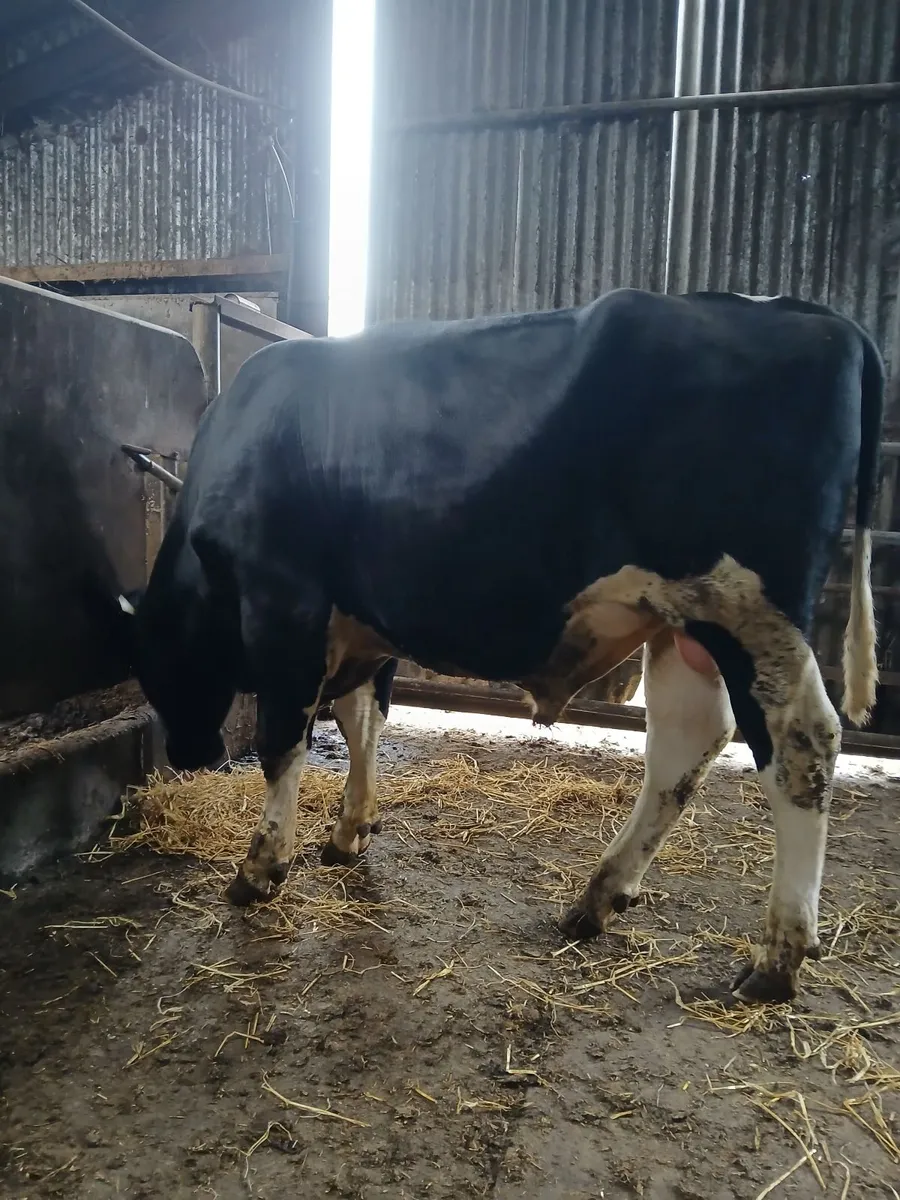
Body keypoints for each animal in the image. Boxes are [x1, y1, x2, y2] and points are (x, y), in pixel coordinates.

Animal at [122, 288, 883, 1006]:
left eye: (154, 666)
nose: (189, 756)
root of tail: (815, 316)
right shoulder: (366, 624)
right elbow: (362, 720)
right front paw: (350, 831)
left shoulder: (284, 605)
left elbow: (285, 742)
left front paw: (260, 867)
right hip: (684, 620)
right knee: (686, 742)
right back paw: (599, 897)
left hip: (749, 611)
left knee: (800, 743)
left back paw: (778, 955)